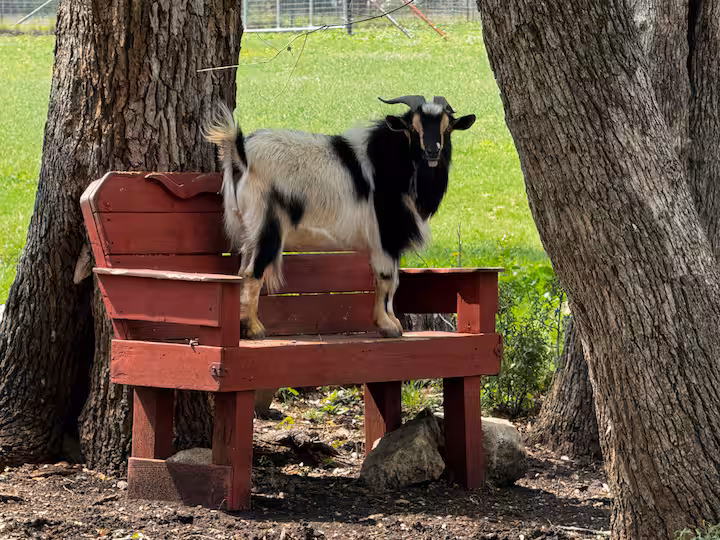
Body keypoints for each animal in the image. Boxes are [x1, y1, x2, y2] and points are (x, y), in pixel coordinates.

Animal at [204, 95, 475, 339]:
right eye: (412, 127)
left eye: (447, 127)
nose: (432, 151)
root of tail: (242, 155)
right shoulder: (385, 236)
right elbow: (388, 279)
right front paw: (389, 326)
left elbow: (387, 280)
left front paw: (391, 323)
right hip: (266, 225)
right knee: (253, 272)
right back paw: (253, 330)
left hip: (247, 229)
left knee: (242, 271)